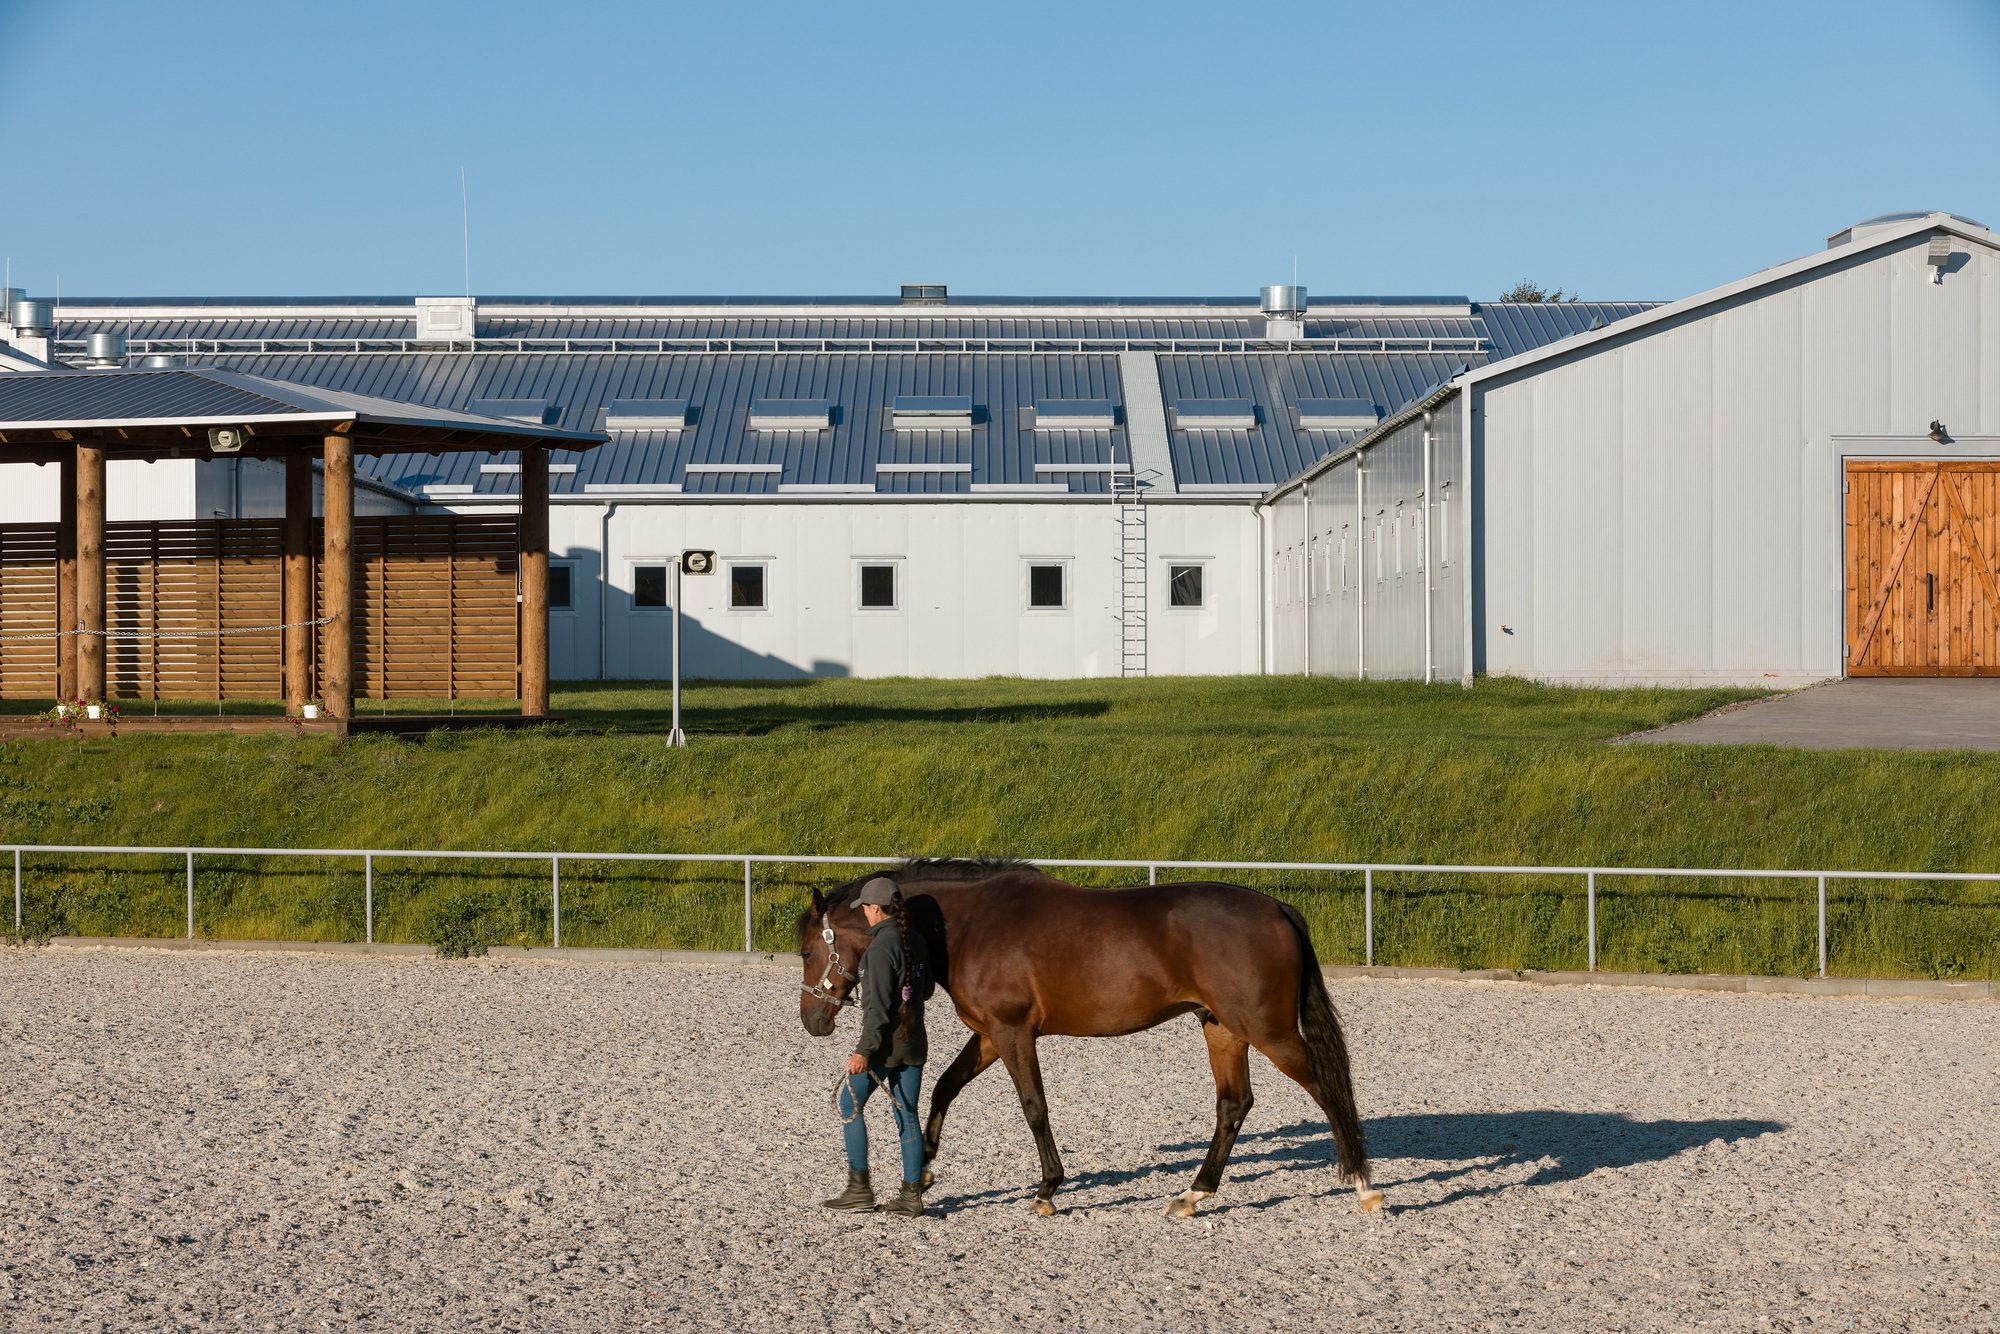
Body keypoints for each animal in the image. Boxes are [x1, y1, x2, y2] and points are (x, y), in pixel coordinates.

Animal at [796, 858, 1383, 1217]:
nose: (813, 1022)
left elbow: (1034, 1106)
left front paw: (1048, 1189)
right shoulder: (989, 1035)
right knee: (1234, 1104)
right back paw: (1193, 1195)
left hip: (1270, 1032)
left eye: (806, 949)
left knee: (1328, 1090)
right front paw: (925, 1173)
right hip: (1222, 1029)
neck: (971, 925)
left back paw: (1365, 1186)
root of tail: (1277, 908)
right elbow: (944, 1087)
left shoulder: (1013, 1033)